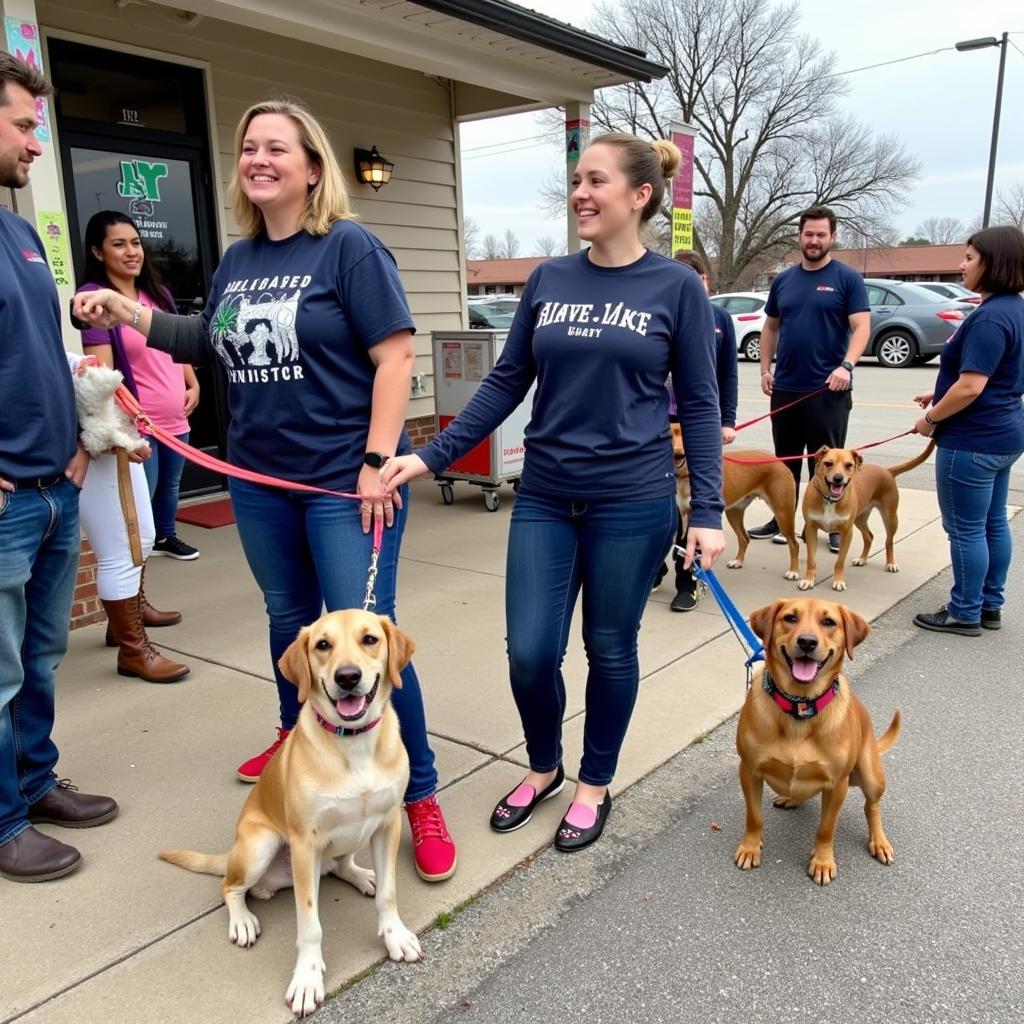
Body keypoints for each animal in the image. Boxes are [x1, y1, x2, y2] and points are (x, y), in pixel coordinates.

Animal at [158, 606, 419, 1015]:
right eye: (323, 645)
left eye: (370, 639)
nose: (348, 677)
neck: (354, 743)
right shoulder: (304, 844)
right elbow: (310, 925)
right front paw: (307, 979)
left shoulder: (387, 824)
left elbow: (389, 894)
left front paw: (395, 935)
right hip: (260, 845)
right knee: (228, 886)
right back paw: (242, 920)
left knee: (340, 865)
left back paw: (362, 875)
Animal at [675, 415, 802, 577]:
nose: (678, 454)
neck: (686, 475)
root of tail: (779, 461)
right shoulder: (683, 516)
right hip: (734, 512)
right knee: (744, 538)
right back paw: (738, 561)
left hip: (783, 513)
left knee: (794, 544)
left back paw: (794, 571)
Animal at [733, 598, 901, 884]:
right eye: (790, 618)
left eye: (828, 622)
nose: (807, 642)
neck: (800, 708)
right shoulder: (749, 771)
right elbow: (754, 817)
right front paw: (750, 848)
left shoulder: (837, 785)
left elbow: (826, 828)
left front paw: (822, 861)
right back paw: (790, 798)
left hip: (870, 775)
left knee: (872, 807)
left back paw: (879, 841)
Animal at [798, 440, 937, 593]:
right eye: (828, 463)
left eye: (849, 465)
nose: (838, 478)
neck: (830, 499)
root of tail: (887, 471)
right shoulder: (811, 530)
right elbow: (811, 560)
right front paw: (808, 580)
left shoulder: (847, 533)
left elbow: (840, 561)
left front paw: (838, 580)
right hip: (860, 518)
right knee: (869, 536)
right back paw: (862, 559)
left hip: (890, 517)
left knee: (889, 541)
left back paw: (890, 563)